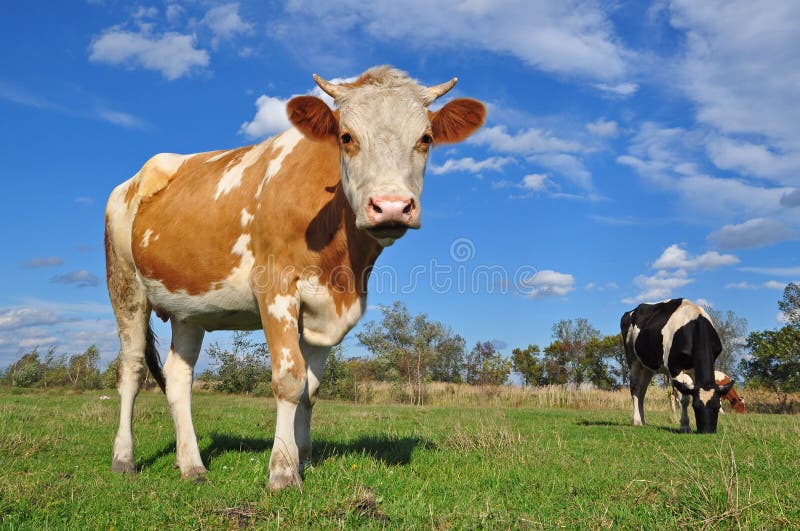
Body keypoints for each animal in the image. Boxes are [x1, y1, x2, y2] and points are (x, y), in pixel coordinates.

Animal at [103, 66, 484, 490]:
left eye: (426, 138)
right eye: (346, 137)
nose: (391, 206)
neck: (342, 267)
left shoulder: (328, 310)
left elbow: (310, 390)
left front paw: (305, 459)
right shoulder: (275, 288)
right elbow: (289, 380)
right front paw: (283, 470)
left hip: (190, 307)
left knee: (178, 377)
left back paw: (192, 464)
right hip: (124, 285)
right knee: (132, 369)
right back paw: (124, 458)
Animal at [620, 298, 736, 434]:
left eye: (717, 406)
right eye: (695, 406)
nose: (707, 431)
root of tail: (632, 311)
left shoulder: (694, 370)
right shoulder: (675, 368)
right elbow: (684, 400)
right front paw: (685, 426)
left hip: (648, 366)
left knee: (642, 391)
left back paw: (643, 420)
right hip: (632, 358)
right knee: (635, 388)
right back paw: (636, 421)